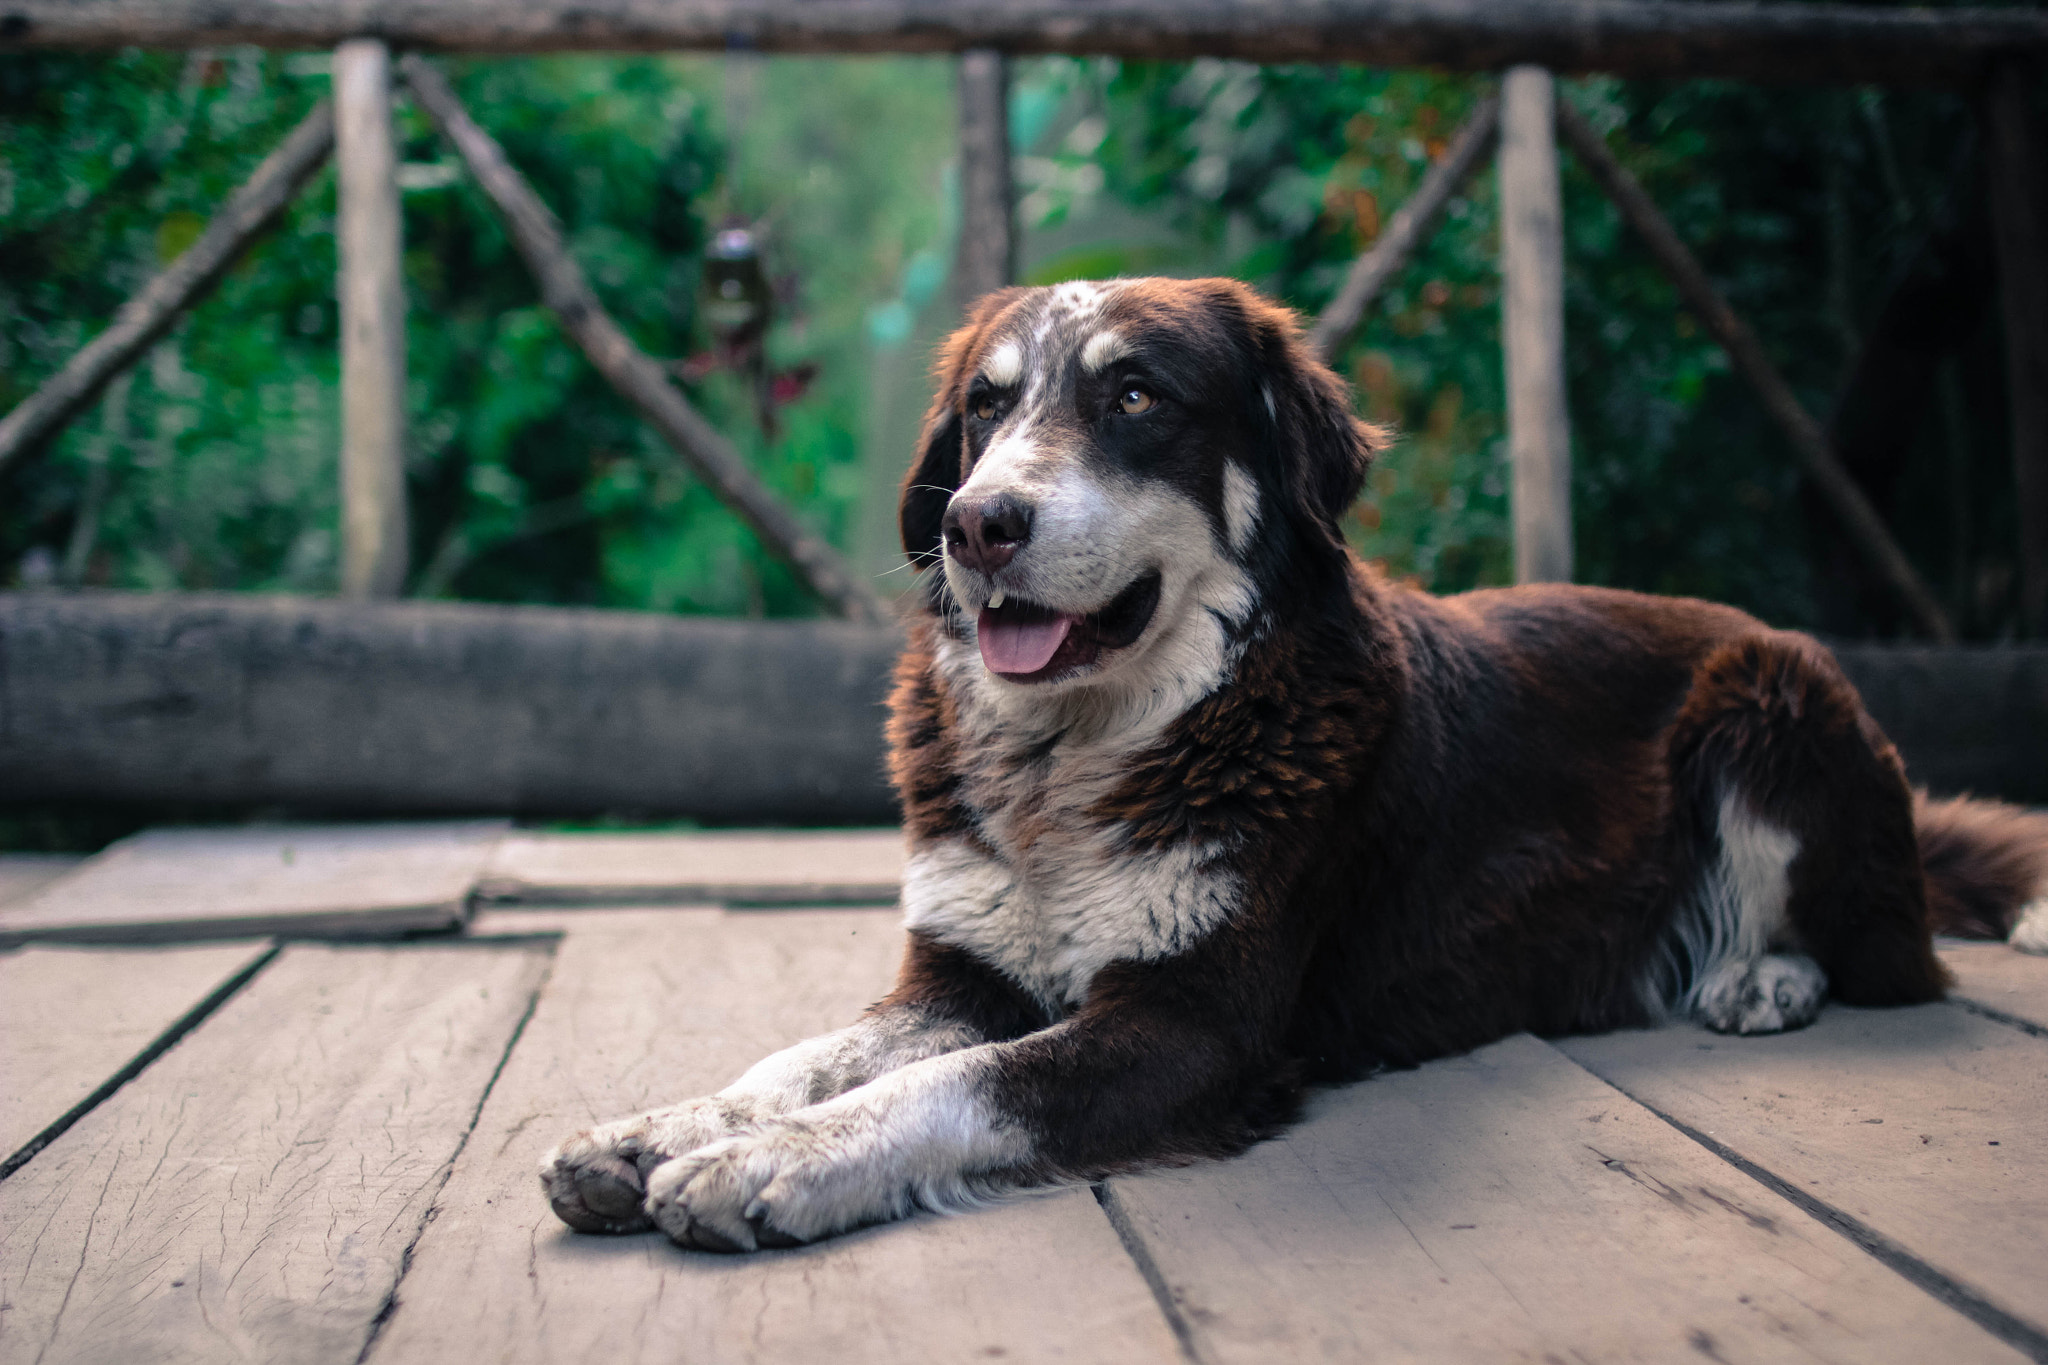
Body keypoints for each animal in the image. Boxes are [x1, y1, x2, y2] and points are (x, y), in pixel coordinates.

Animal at [540, 274, 2048, 1252]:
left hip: (1771, 695)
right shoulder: (960, 973)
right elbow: (808, 1055)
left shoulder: (1194, 1023)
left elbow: (938, 1090)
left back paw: (1759, 976)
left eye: (1134, 396)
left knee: (1888, 948)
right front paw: (659, 1128)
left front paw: (765, 1167)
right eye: (983, 407)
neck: (1084, 757)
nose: (975, 524)